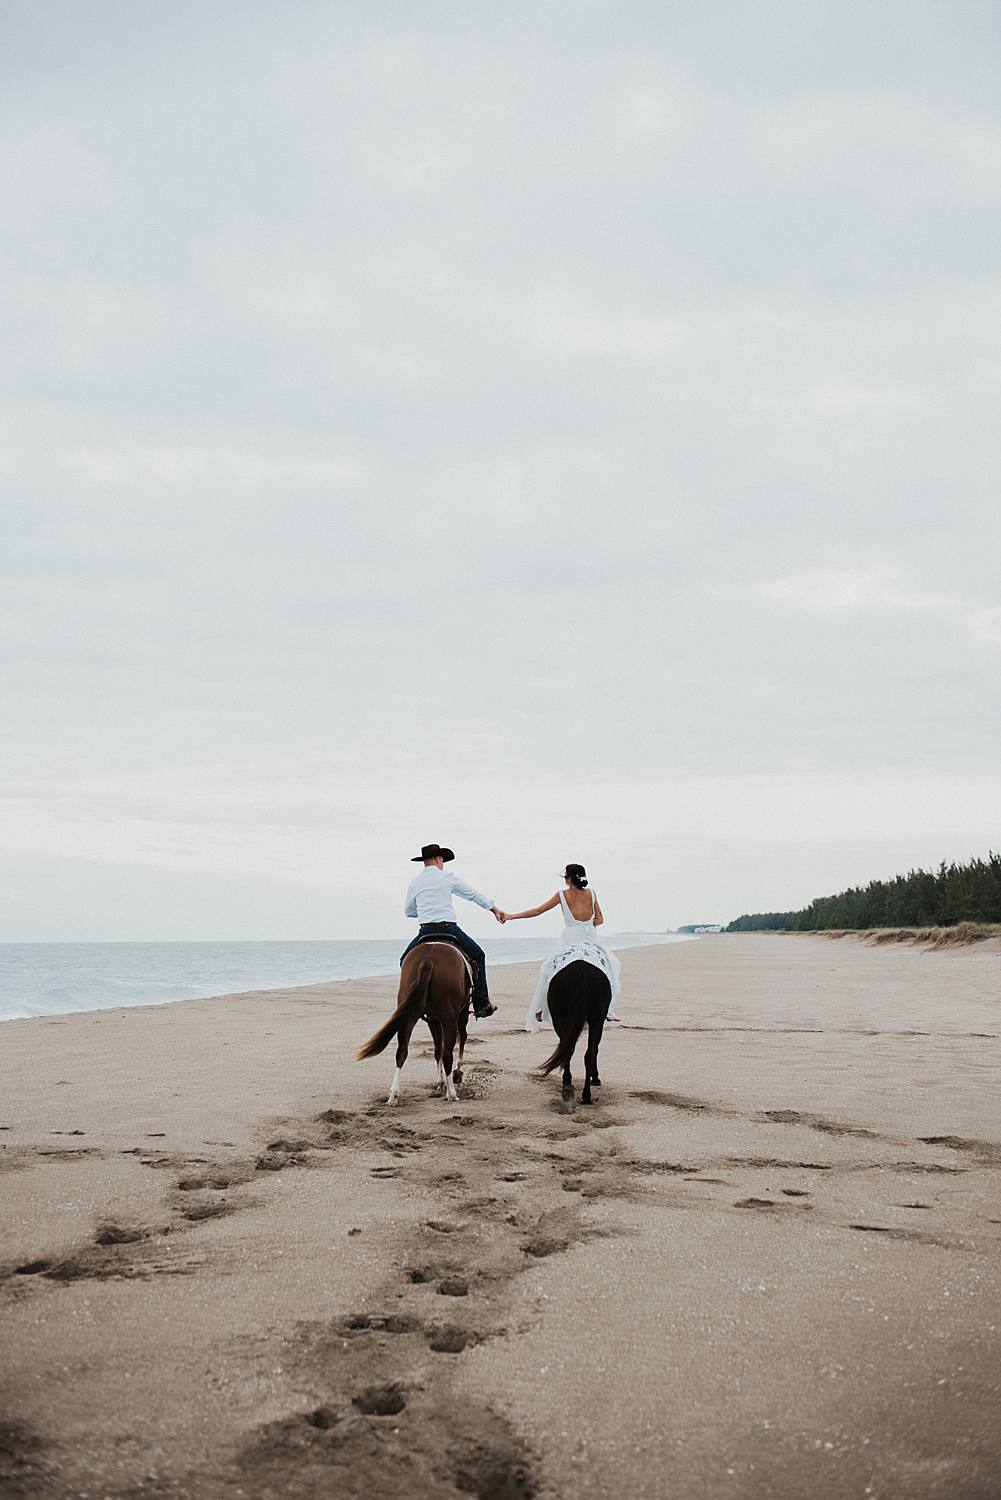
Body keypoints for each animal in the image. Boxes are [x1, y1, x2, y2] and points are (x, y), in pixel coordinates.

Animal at [355, 942, 474, 1110]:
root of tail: (428, 960)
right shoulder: (460, 1014)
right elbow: (460, 1039)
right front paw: (455, 1074)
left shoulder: (433, 1020)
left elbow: (437, 1049)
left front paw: (440, 1081)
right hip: (448, 1017)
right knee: (447, 1053)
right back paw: (451, 1093)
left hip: (408, 1016)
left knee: (402, 1051)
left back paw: (393, 1095)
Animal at [540, 960, 612, 1104]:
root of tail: (582, 970)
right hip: (596, 1020)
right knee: (588, 1052)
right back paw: (583, 1091)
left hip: (563, 1019)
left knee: (572, 1050)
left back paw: (575, 1088)